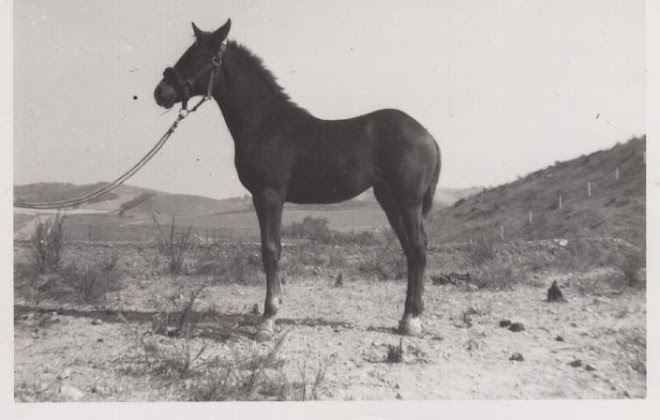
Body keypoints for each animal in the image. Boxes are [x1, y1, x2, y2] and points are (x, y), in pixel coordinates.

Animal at [154, 19, 440, 342]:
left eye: (197, 56)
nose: (161, 92)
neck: (265, 123)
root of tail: (427, 135)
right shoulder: (261, 198)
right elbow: (268, 249)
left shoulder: (269, 196)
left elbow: (271, 250)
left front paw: (267, 320)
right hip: (389, 200)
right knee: (410, 250)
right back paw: (405, 319)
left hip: (408, 202)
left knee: (418, 248)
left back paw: (413, 321)